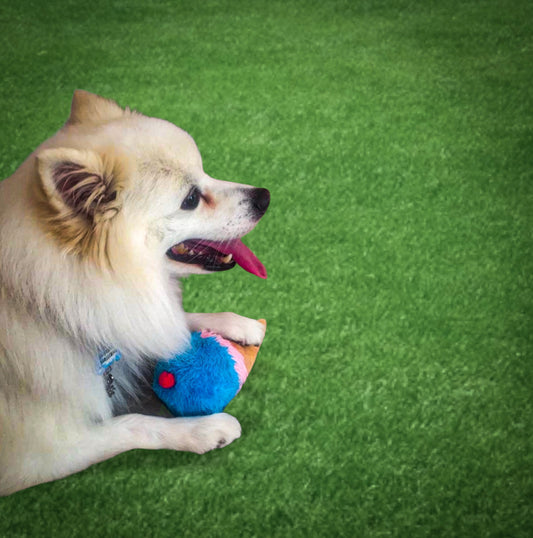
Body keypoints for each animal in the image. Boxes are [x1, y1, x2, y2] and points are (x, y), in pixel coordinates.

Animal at [1, 89, 270, 494]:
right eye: (191, 199)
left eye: (205, 172)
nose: (264, 197)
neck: (42, 301)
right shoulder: (40, 453)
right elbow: (135, 424)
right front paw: (204, 429)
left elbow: (166, 322)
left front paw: (236, 323)